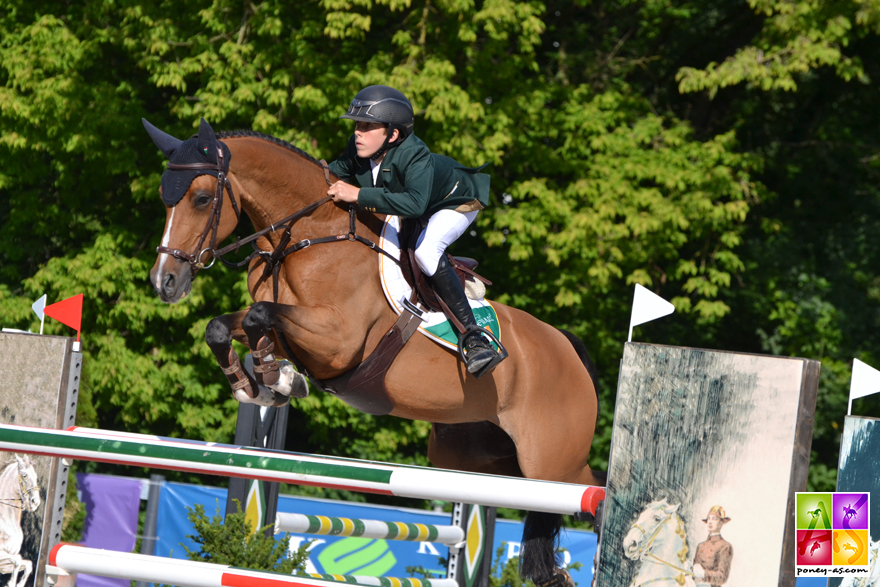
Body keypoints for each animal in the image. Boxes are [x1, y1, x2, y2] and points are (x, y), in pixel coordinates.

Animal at [0, 454, 40, 587]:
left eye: (36, 477)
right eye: (24, 475)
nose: (35, 503)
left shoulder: (5, 564)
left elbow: (28, 564)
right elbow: (17, 561)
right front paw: (11, 582)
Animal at [144, 119, 604, 587]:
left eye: (202, 198)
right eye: (165, 197)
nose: (165, 282)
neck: (306, 237)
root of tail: (565, 346)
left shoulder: (338, 341)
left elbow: (260, 316)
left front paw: (275, 378)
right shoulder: (292, 326)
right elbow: (227, 325)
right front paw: (260, 384)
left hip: (552, 465)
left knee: (594, 495)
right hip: (477, 457)